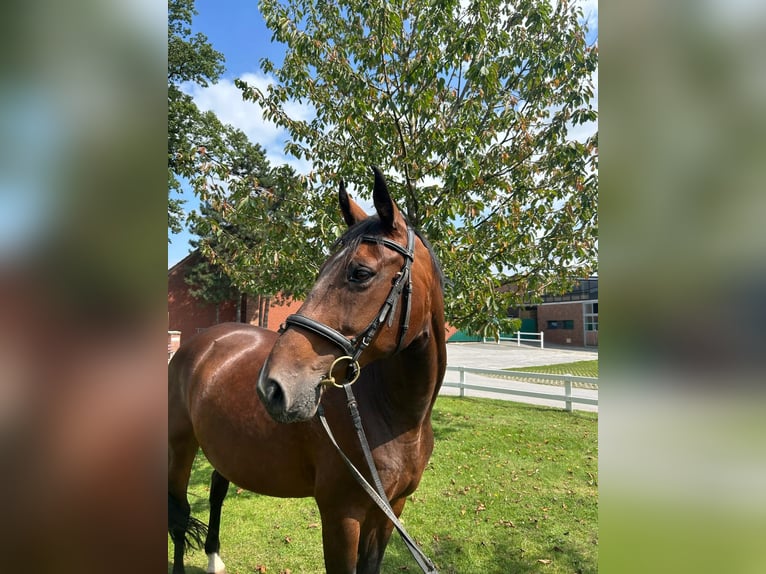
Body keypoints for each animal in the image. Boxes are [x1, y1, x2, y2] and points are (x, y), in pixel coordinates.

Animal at [165, 168, 448, 574]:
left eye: (360, 273)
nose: (271, 387)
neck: (395, 418)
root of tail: (199, 342)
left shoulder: (390, 511)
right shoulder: (341, 517)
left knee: (217, 491)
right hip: (179, 445)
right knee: (178, 517)